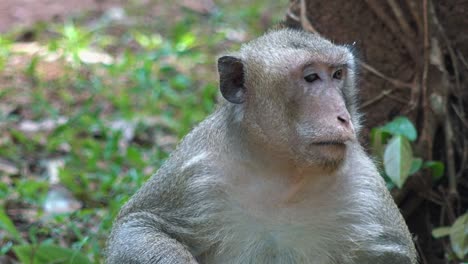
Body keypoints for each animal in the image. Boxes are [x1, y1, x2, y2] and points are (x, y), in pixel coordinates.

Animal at [106, 27, 416, 262]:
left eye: (338, 75)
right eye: (311, 77)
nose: (343, 117)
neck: (284, 172)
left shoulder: (366, 189)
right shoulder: (196, 165)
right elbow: (139, 223)